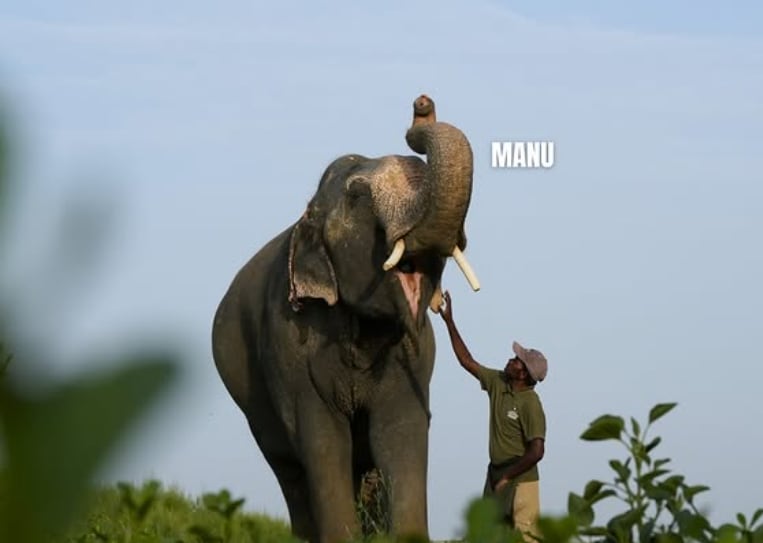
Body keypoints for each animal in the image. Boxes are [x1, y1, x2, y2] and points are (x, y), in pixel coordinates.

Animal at [212, 95, 478, 543]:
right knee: (290, 471)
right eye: (356, 194)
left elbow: (400, 432)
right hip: (252, 403)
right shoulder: (289, 346)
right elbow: (321, 440)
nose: (422, 104)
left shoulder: (414, 358)